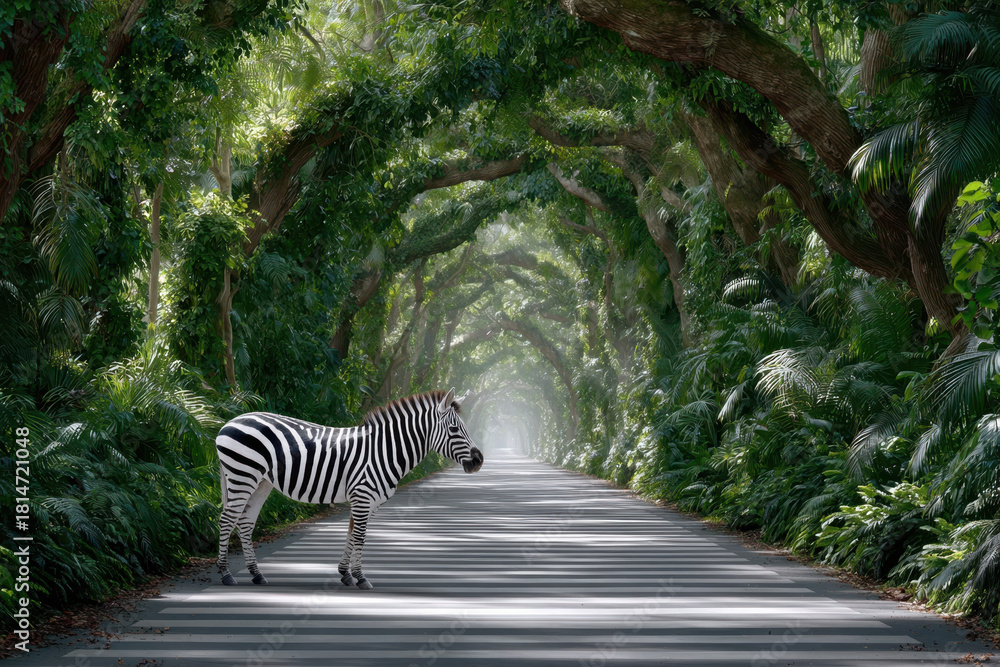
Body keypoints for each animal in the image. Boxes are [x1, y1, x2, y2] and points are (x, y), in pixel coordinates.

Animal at [214, 388, 484, 589]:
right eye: (454, 429)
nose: (479, 461)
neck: (384, 450)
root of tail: (229, 422)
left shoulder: (366, 500)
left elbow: (352, 534)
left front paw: (345, 574)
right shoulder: (363, 495)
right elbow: (360, 537)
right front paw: (361, 578)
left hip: (262, 482)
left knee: (245, 522)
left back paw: (256, 574)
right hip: (242, 474)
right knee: (227, 520)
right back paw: (226, 574)